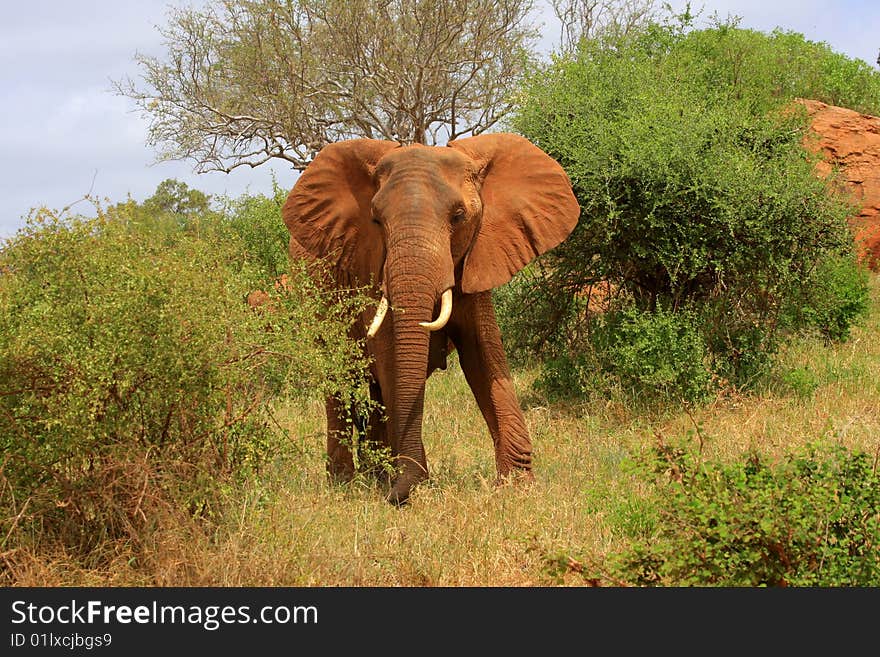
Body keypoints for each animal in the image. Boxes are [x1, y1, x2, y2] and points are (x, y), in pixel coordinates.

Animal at [286, 132, 580, 502]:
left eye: (459, 216)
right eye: (376, 220)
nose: (396, 499)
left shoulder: (477, 259)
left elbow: (484, 354)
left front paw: (516, 486)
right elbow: (390, 356)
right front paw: (414, 483)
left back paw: (377, 476)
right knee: (340, 379)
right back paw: (347, 483)